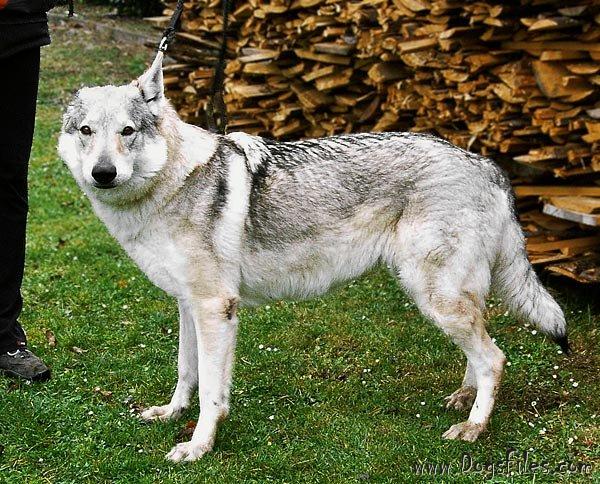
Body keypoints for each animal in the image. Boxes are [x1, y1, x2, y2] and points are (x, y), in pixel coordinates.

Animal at [57, 54, 568, 462]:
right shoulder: (187, 305)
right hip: (448, 299)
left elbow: (212, 396)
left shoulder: (215, 309)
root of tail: (485, 163)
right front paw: (170, 413)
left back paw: (474, 427)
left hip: (435, 297)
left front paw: (199, 446)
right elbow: (187, 373)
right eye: (86, 132)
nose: (103, 173)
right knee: (482, 349)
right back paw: (464, 396)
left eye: (127, 131)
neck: (172, 184)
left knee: (495, 358)